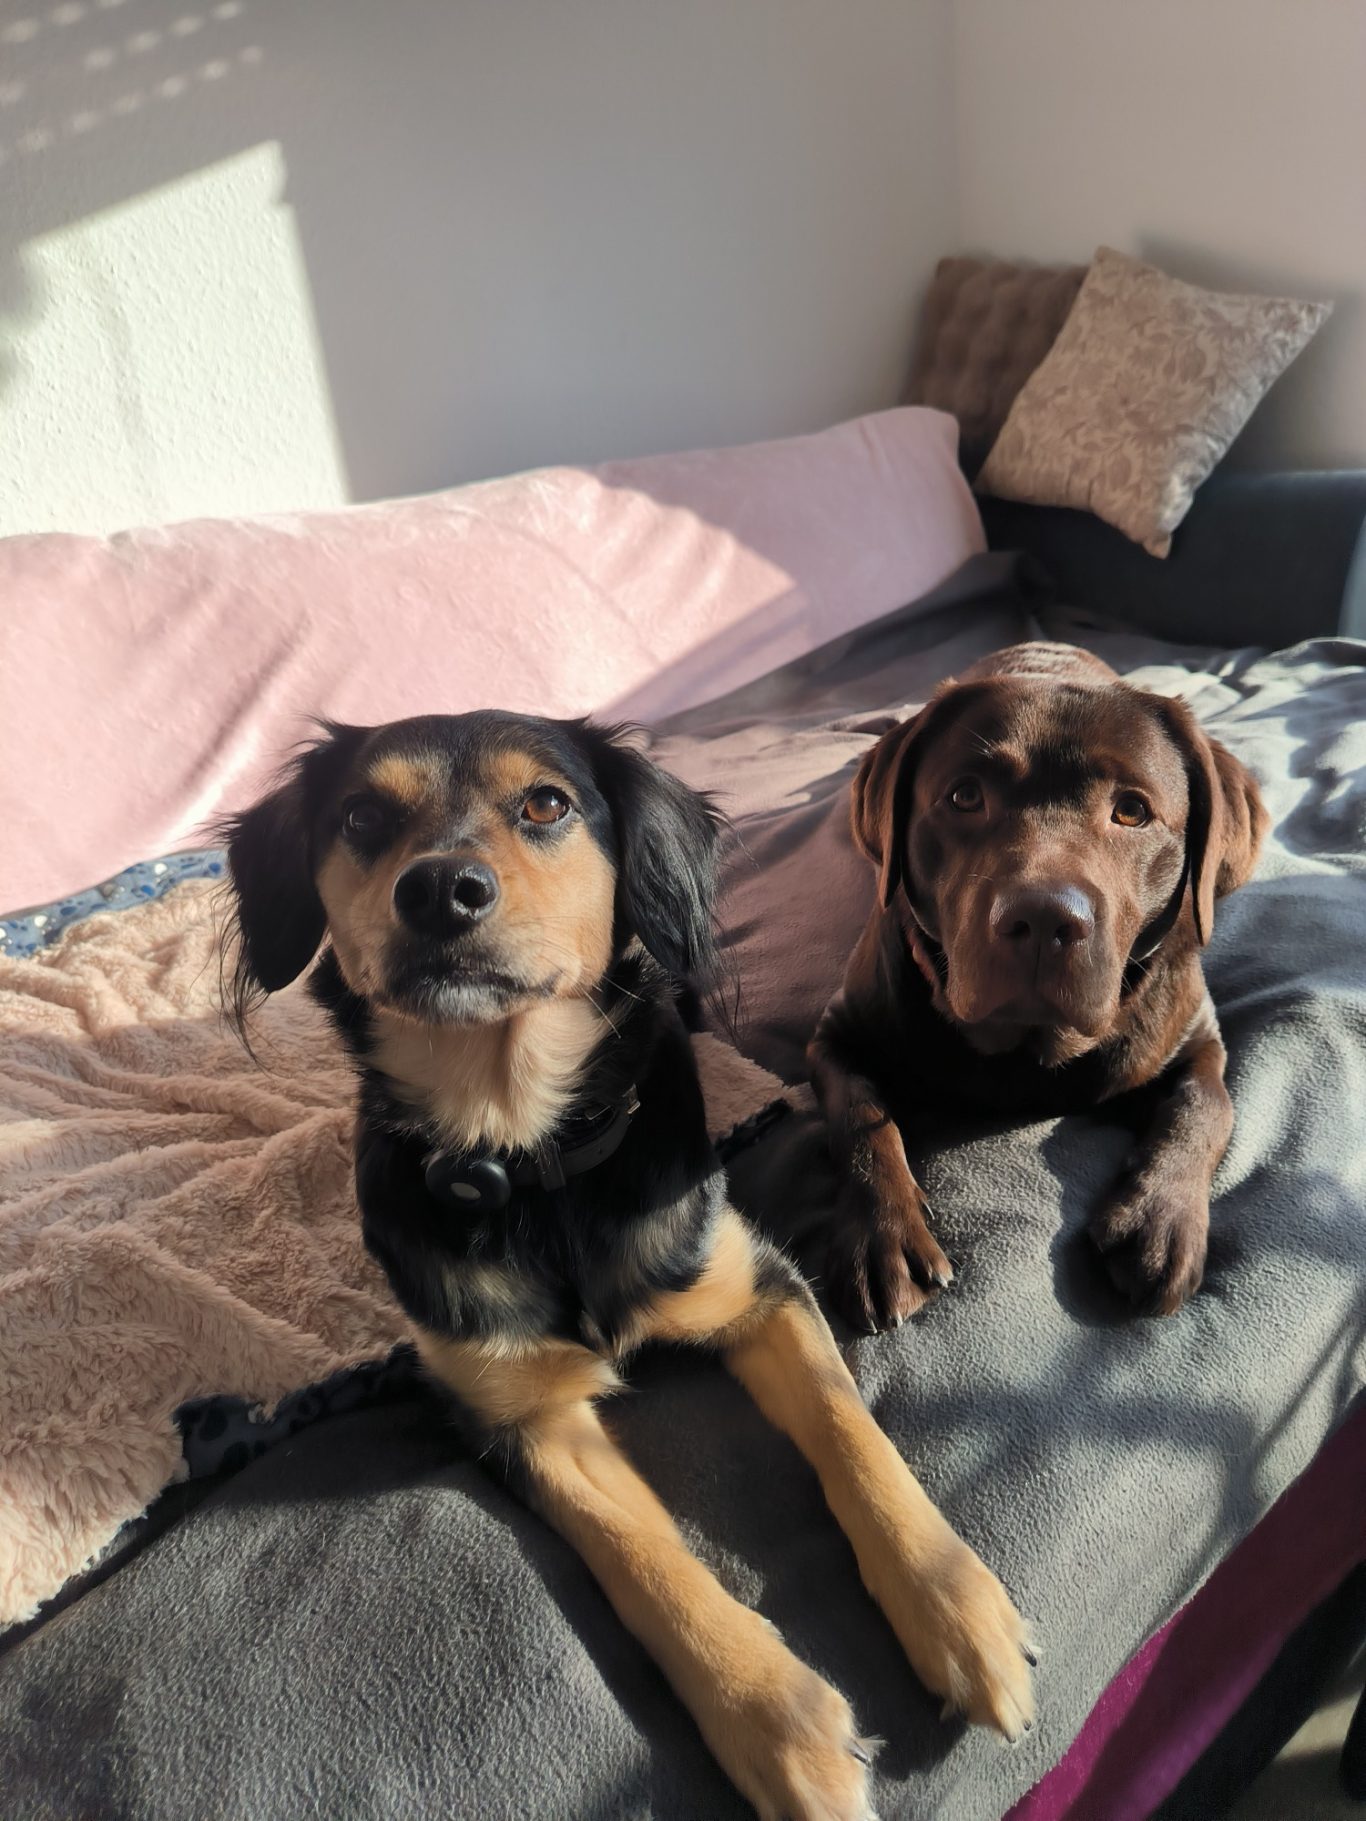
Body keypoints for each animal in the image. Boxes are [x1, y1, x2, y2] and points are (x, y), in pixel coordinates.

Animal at [220, 711, 1034, 1821]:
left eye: (546, 804)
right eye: (360, 816)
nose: (439, 890)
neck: (527, 1149)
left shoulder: (761, 1288)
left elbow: (854, 1437)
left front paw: (959, 1611)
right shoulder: (518, 1415)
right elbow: (643, 1559)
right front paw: (781, 1729)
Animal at [810, 643, 1268, 1333]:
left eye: (1132, 810)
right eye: (965, 796)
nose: (1044, 919)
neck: (1028, 1050)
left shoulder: (1198, 1039)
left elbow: (1206, 1108)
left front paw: (1159, 1220)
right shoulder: (838, 1033)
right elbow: (859, 1114)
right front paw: (881, 1236)